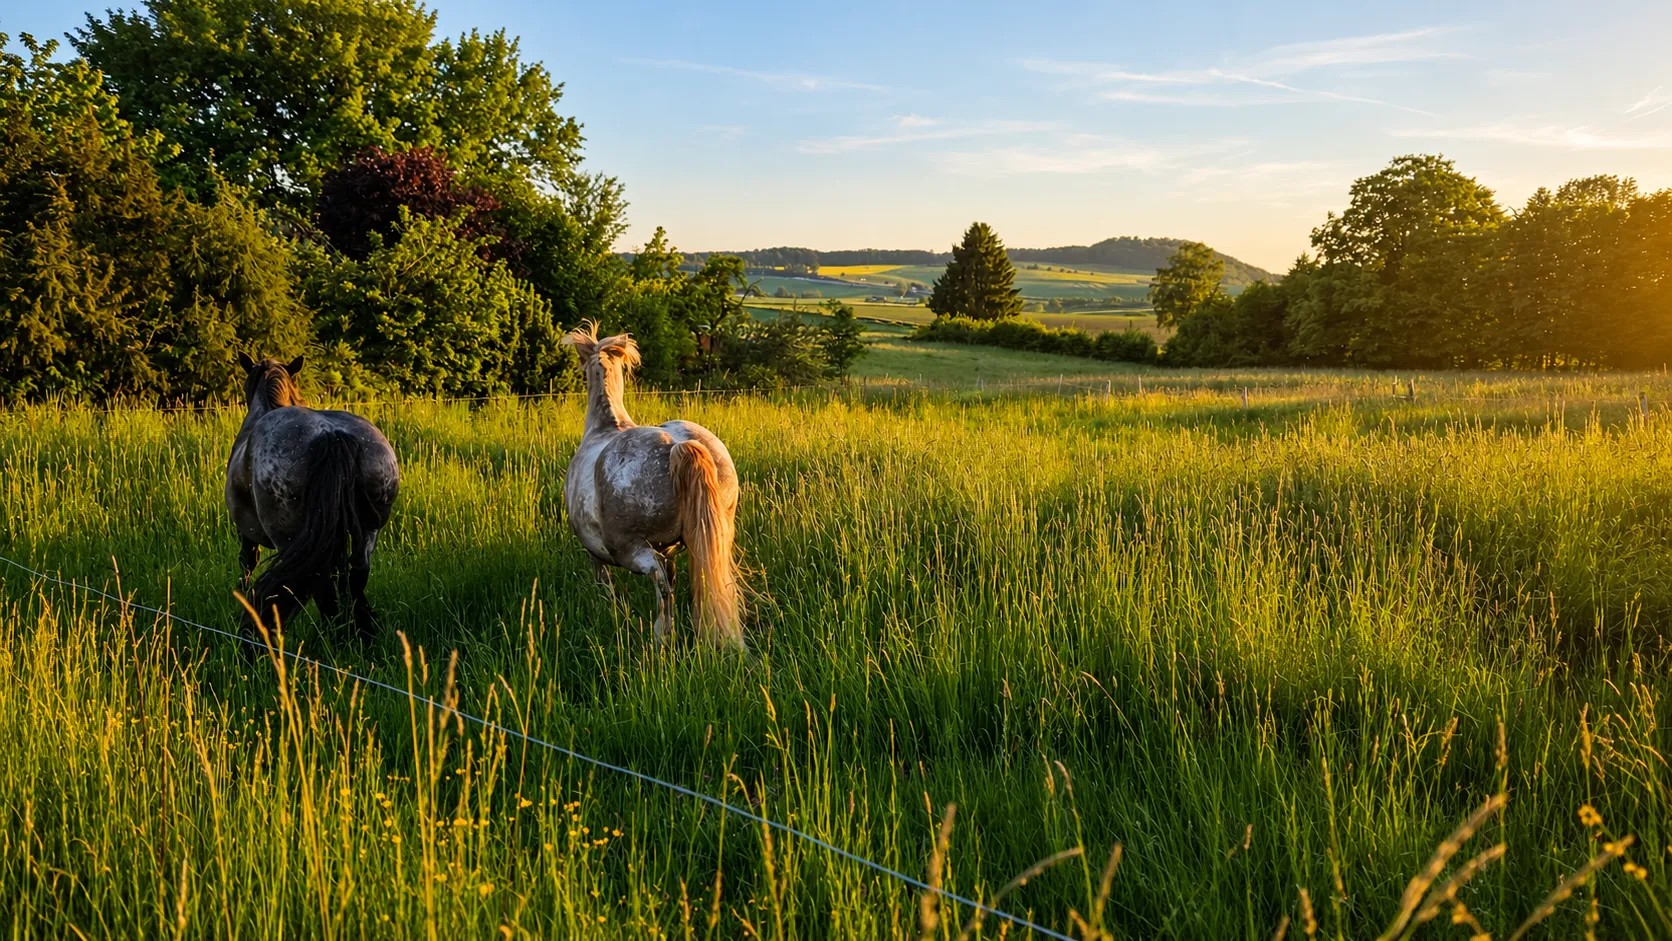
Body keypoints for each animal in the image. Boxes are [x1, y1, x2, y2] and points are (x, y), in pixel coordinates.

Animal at [225, 353, 400, 640]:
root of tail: (331, 435)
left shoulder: (246, 533)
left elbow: (247, 563)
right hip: (366, 533)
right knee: (355, 575)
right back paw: (359, 633)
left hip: (291, 538)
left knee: (319, 582)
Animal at [560, 323, 745, 649]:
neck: (605, 426)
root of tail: (679, 446)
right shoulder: (670, 549)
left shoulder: (596, 554)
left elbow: (606, 587)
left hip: (632, 550)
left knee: (659, 582)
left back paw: (662, 635)